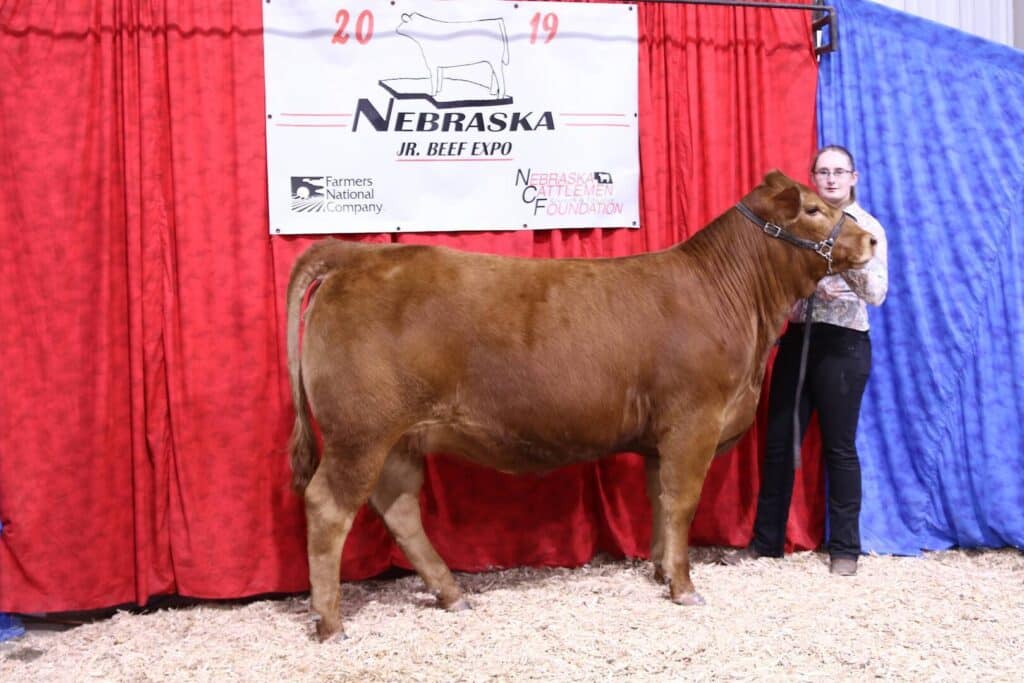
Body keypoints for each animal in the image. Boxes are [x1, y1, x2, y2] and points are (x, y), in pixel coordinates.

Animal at [285, 170, 877, 641]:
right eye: (813, 209)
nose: (872, 238)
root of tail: (360, 253)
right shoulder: (694, 420)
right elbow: (682, 502)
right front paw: (684, 587)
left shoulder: (661, 436)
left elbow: (659, 502)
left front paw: (662, 571)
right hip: (360, 432)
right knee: (329, 507)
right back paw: (331, 623)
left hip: (399, 437)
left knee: (400, 509)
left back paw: (452, 594)